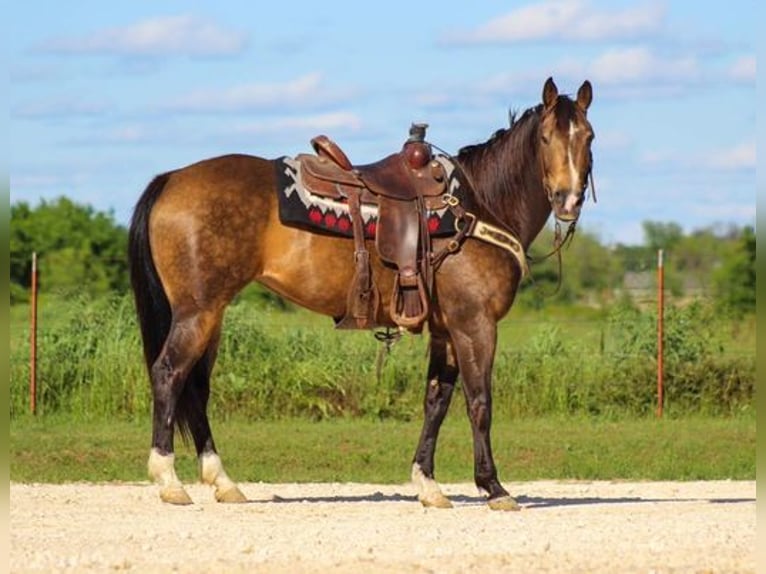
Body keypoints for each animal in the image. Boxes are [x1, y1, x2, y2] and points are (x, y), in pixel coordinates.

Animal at [129, 77, 596, 512]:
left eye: (589, 136)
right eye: (545, 138)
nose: (568, 199)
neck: (479, 206)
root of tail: (170, 179)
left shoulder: (446, 330)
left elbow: (436, 401)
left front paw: (428, 485)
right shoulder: (474, 324)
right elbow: (479, 402)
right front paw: (494, 488)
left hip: (212, 315)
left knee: (196, 388)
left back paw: (223, 482)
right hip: (198, 312)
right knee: (169, 374)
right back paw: (169, 481)